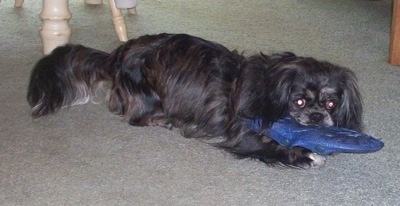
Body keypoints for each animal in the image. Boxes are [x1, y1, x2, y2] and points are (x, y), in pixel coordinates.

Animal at [26, 33, 364, 169]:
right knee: (134, 117)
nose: (318, 118)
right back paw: (162, 121)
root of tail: (117, 54)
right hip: (148, 96)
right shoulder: (245, 138)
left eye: (331, 104)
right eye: (300, 102)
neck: (269, 86)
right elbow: (276, 148)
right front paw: (308, 156)